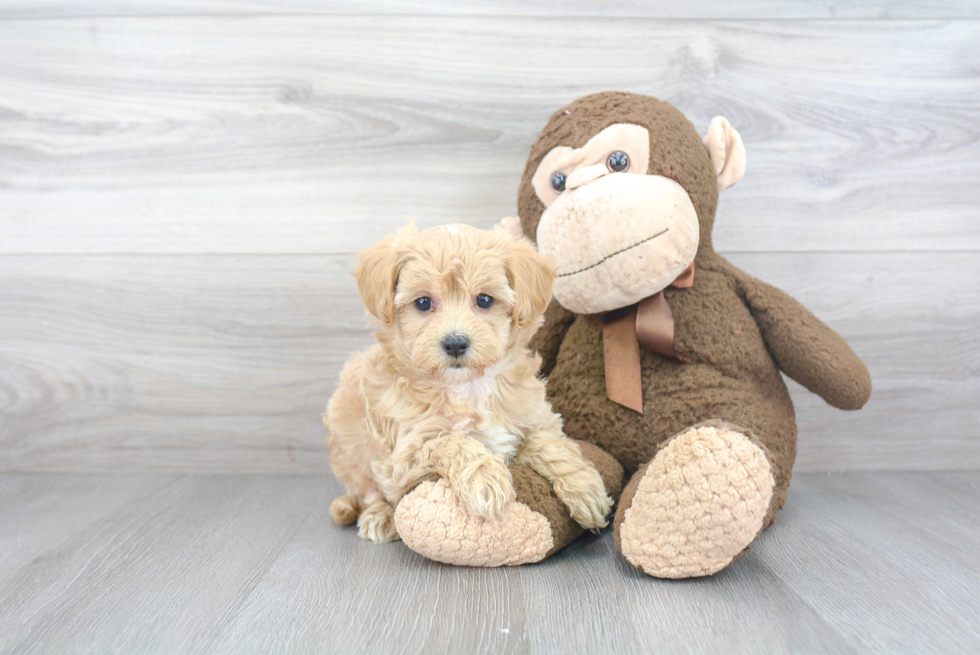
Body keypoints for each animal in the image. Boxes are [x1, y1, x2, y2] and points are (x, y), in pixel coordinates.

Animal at [322, 224, 612, 544]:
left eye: (484, 300)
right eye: (423, 302)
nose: (455, 343)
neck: (470, 386)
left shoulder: (533, 415)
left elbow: (549, 443)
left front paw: (585, 486)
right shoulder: (402, 457)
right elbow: (452, 441)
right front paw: (486, 479)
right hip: (348, 431)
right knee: (367, 491)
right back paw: (379, 516)